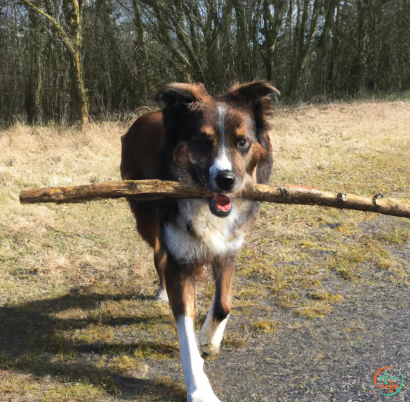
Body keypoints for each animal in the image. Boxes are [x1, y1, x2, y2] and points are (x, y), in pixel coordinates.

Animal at [118, 80, 278, 400]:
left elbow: (223, 304)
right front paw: (199, 388)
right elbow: (186, 334)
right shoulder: (179, 260)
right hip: (146, 215)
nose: (226, 181)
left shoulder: (229, 248)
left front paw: (209, 339)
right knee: (158, 255)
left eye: (242, 142)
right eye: (203, 141)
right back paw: (161, 291)